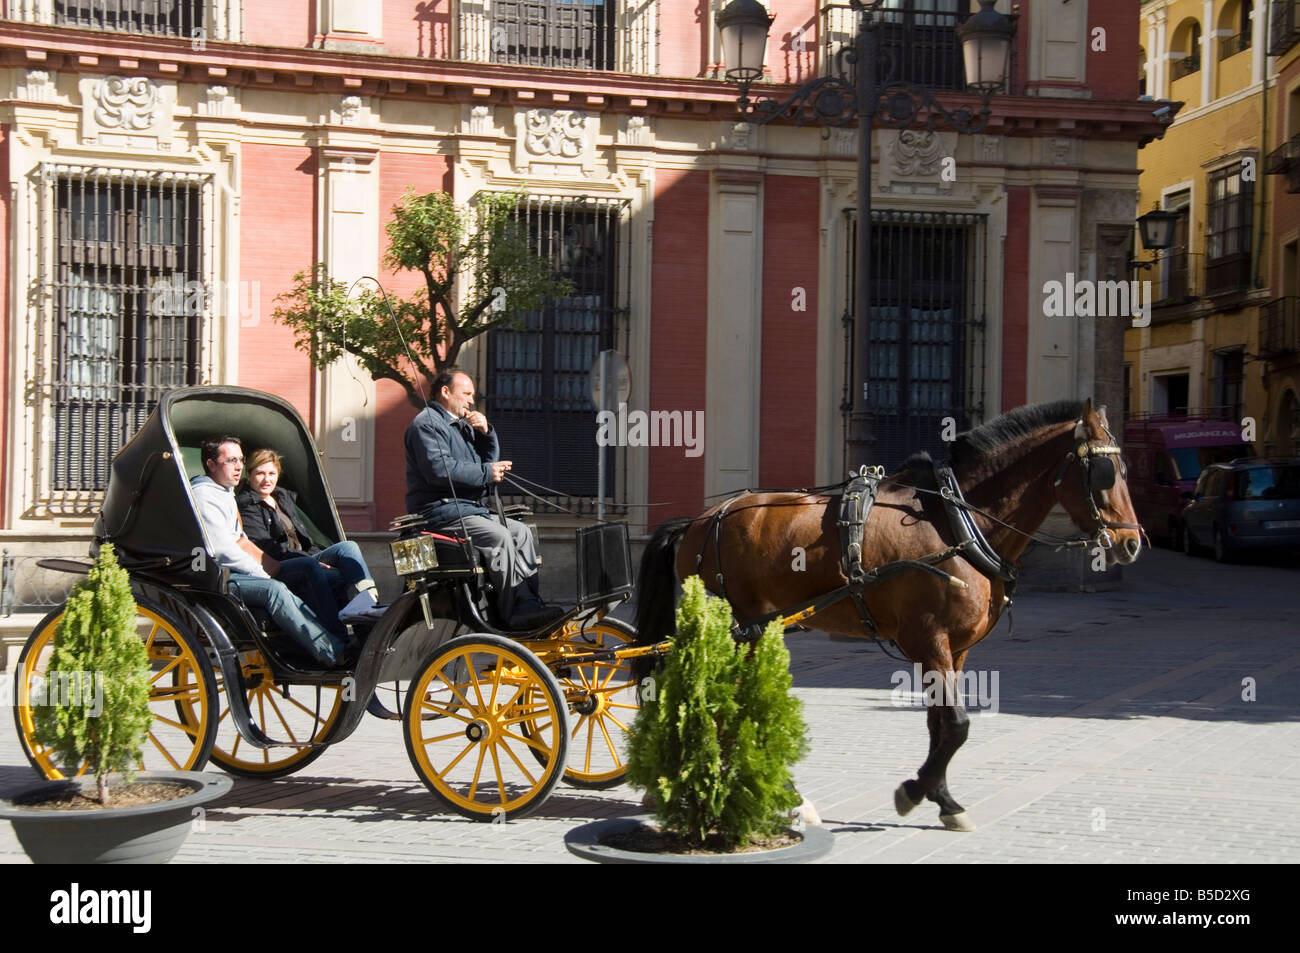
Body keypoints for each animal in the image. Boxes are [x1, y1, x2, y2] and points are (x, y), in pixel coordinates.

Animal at [634, 397, 1144, 826]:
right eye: (1105, 471)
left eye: (1123, 468)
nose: (1131, 543)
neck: (956, 521)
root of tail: (700, 521)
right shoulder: (927, 640)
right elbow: (957, 725)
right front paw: (916, 791)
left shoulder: (955, 650)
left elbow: (940, 725)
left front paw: (941, 796)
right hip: (743, 627)